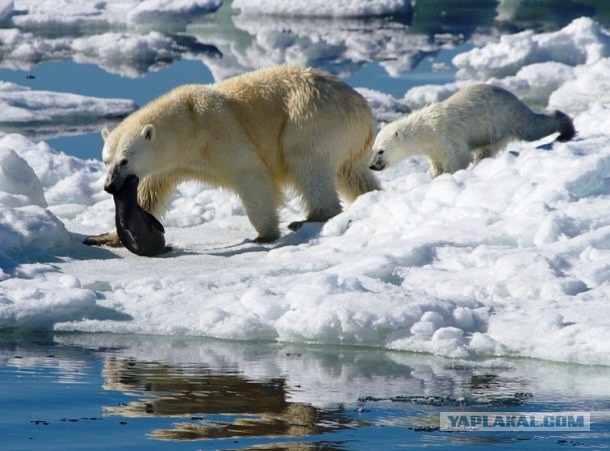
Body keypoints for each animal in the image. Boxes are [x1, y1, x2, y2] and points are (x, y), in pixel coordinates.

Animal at [83, 66, 378, 247]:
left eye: (124, 160)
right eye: (106, 160)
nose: (109, 186)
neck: (189, 124)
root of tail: (363, 109)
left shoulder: (221, 134)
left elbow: (252, 175)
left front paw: (264, 235)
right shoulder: (170, 162)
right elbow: (151, 190)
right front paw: (104, 236)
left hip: (310, 120)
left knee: (308, 164)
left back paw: (309, 218)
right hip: (349, 141)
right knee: (352, 174)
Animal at [368, 84, 572, 177]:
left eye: (381, 151)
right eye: (373, 150)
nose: (372, 166)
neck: (427, 129)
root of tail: (515, 99)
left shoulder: (447, 136)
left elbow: (457, 159)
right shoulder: (434, 149)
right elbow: (436, 164)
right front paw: (435, 175)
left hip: (504, 119)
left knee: (533, 128)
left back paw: (566, 127)